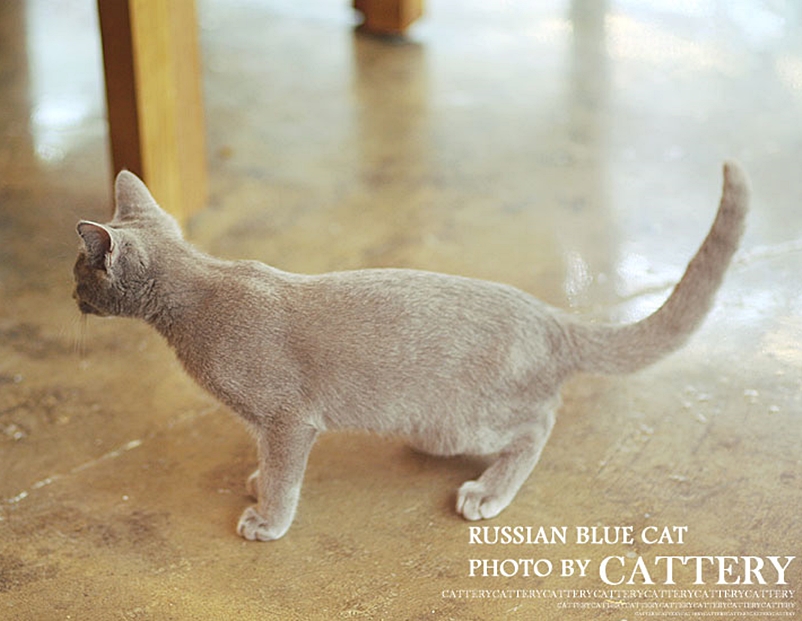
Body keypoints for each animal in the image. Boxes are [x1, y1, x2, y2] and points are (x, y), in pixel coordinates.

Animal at [73, 163, 748, 541]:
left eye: (79, 270)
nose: (71, 293)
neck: (201, 288)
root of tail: (549, 315)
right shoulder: (270, 426)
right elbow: (270, 464)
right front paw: (259, 482)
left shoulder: (288, 421)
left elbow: (287, 474)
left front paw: (269, 517)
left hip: (463, 420)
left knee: (538, 424)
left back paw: (489, 491)